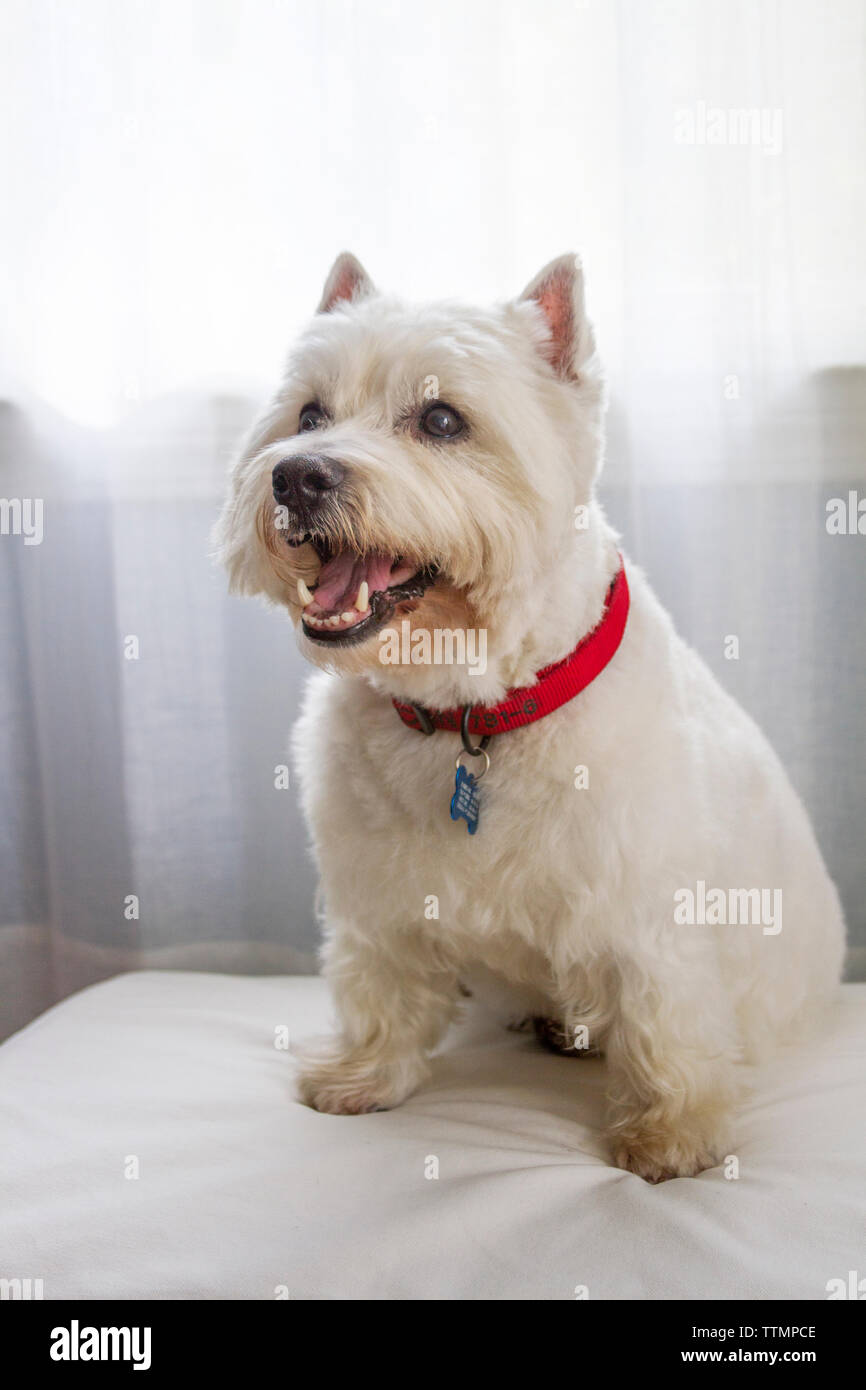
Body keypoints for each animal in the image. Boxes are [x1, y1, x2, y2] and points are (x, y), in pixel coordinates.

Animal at [216, 255, 845, 1178]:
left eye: (442, 419)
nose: (296, 476)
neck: (474, 710)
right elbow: (381, 984)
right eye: (308, 414)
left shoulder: (650, 912)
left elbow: (664, 1019)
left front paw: (670, 1133)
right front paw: (365, 1075)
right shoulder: (376, 897)